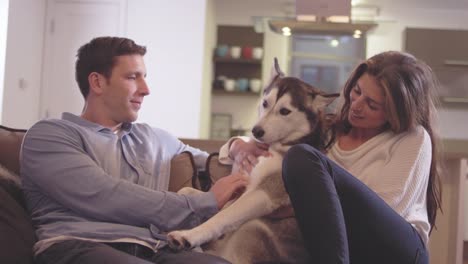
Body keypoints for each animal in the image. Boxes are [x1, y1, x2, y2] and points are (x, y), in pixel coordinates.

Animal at [168, 58, 340, 262]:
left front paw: (188, 235)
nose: (256, 131)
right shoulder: (241, 186)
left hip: (254, 226)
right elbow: (189, 191)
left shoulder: (263, 194)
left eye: (285, 111)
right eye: (265, 103)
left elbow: (222, 216)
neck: (279, 146)